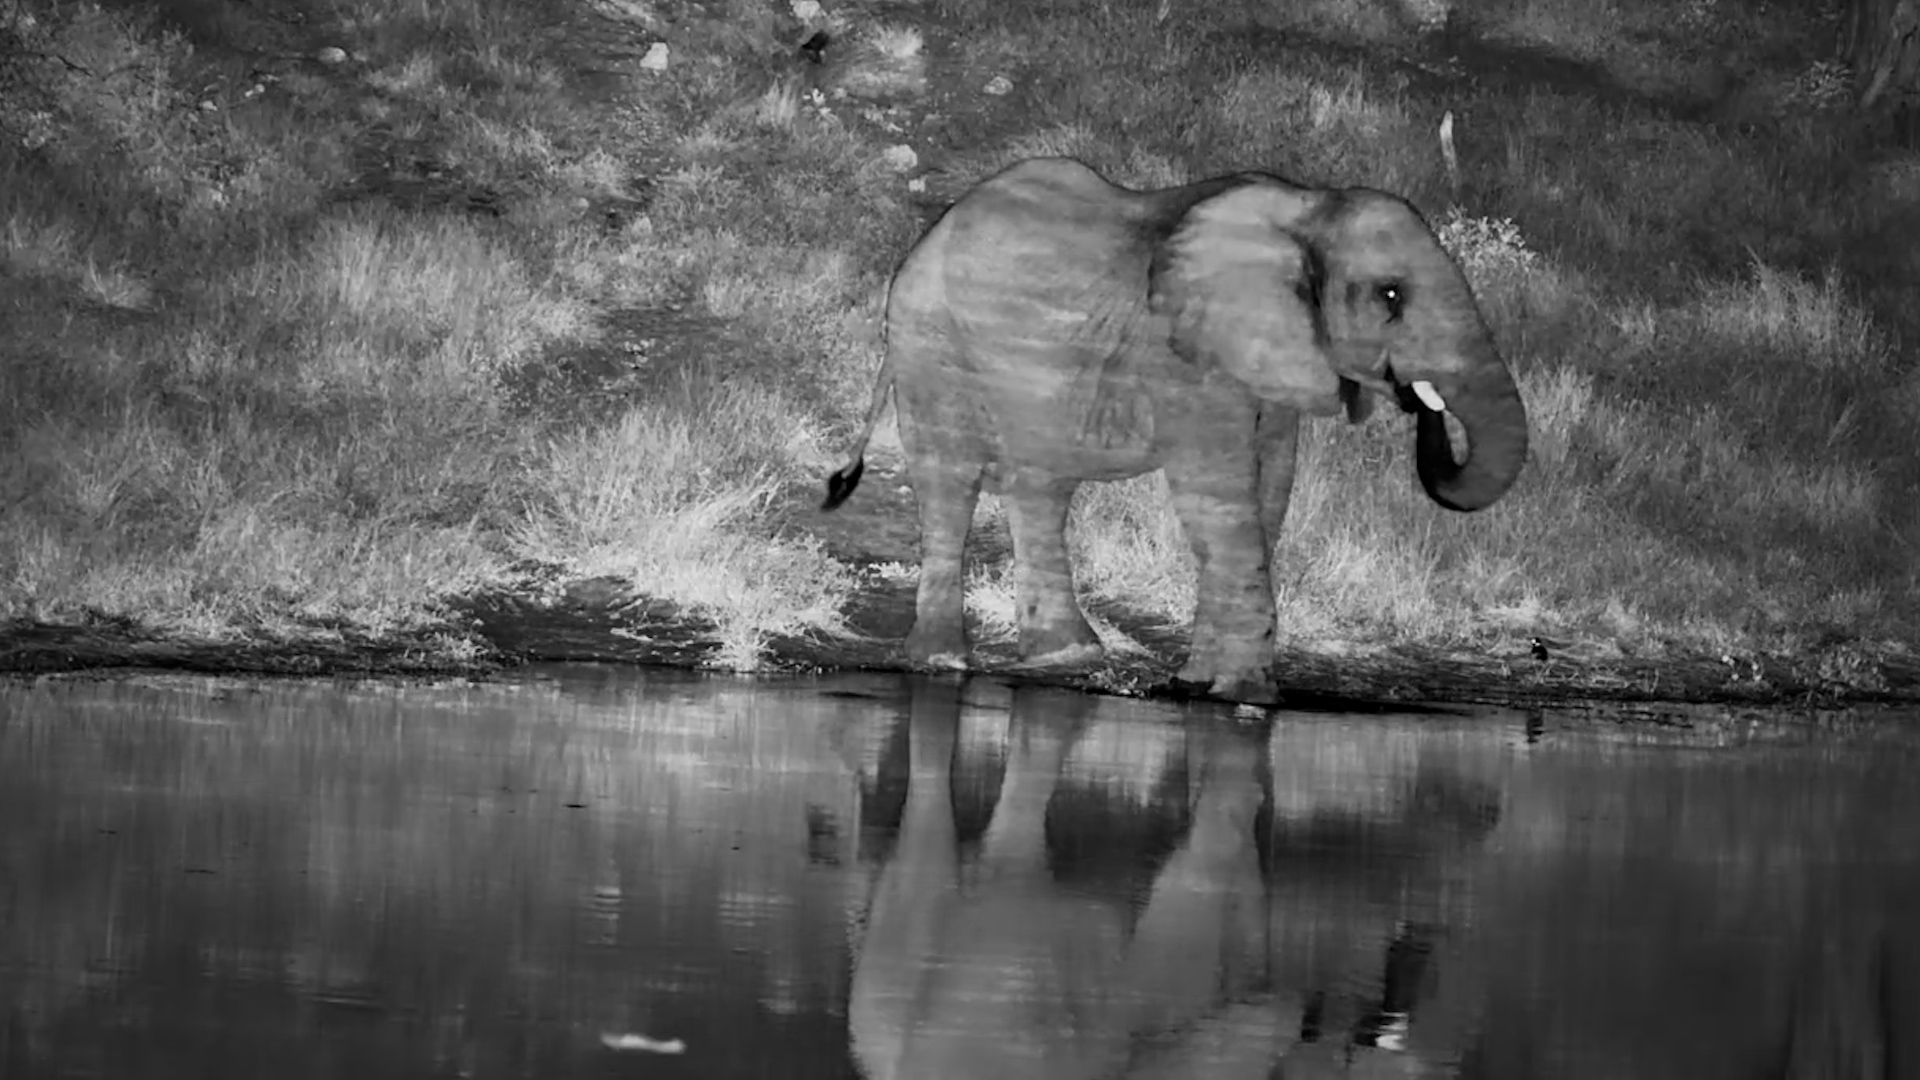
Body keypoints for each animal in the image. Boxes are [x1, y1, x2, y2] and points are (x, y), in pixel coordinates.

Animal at [821, 156, 1530, 704]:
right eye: (1390, 296)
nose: (1420, 401)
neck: (1307, 206)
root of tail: (923, 241)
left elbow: (1268, 493)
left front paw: (1199, 685)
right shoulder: (1184, 361)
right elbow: (1219, 501)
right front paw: (1247, 696)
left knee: (1040, 486)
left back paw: (1066, 658)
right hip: (930, 344)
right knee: (953, 480)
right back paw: (943, 663)